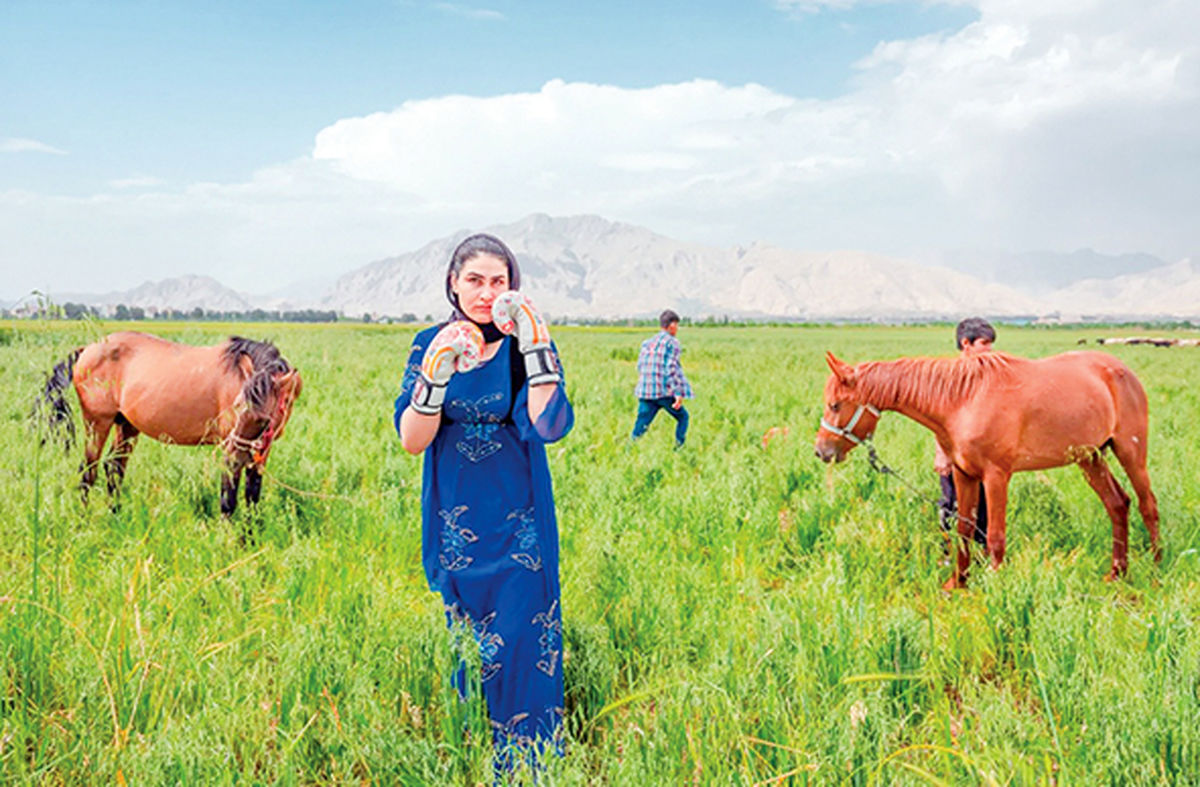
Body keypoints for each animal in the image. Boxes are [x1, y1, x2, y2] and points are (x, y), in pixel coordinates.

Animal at [38, 331, 302, 515]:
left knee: (114, 468)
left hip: (126, 425)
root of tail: (87, 349)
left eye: (264, 419)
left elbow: (252, 499)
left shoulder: (261, 452)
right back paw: (84, 522)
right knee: (88, 473)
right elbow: (229, 499)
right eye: (237, 407)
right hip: (97, 424)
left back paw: (116, 515)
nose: (235, 457)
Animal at [816, 347, 1161, 587]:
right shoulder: (964, 474)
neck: (962, 400)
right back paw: (1117, 572)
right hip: (1090, 458)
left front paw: (996, 590)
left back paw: (1157, 568)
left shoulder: (996, 477)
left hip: (1130, 451)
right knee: (1117, 504)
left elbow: (994, 537)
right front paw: (958, 584)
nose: (821, 451)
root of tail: (1122, 371)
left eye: (835, 404)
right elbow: (965, 530)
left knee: (1148, 505)